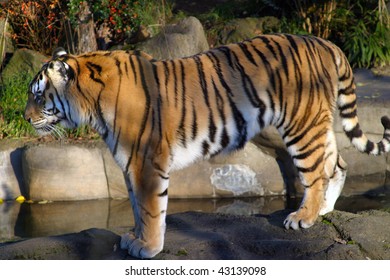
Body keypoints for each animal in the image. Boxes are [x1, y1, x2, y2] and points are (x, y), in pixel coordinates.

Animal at [25, 34, 390, 258]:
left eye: (39, 95)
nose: (25, 117)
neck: (92, 105)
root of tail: (326, 43)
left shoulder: (146, 160)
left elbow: (150, 208)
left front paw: (149, 247)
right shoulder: (130, 164)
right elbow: (137, 208)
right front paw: (135, 239)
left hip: (301, 125)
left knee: (315, 172)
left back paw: (304, 217)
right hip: (316, 123)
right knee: (338, 163)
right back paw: (326, 209)